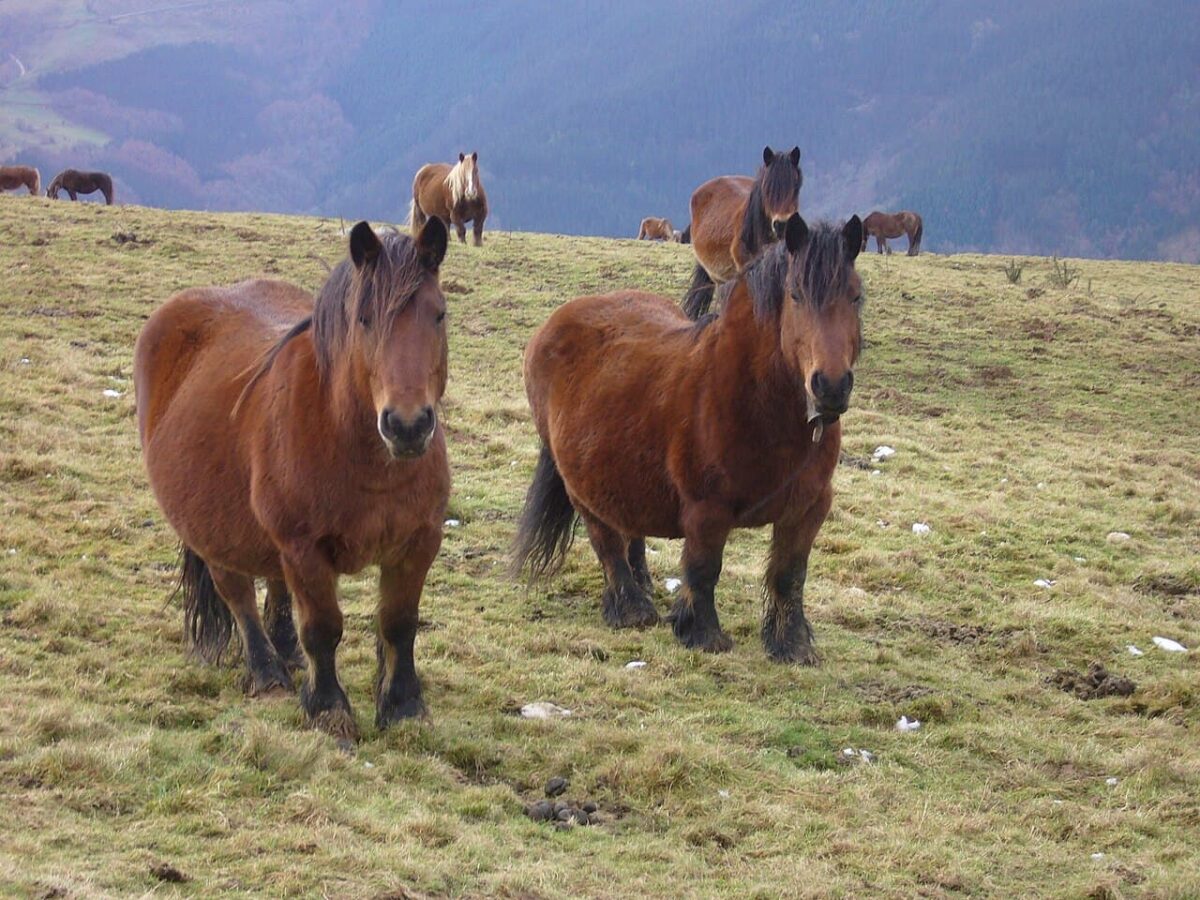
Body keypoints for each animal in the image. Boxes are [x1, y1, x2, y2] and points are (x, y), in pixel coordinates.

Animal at [134, 218, 452, 742]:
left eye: (439, 315)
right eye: (364, 319)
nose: (407, 425)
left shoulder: (418, 541)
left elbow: (399, 623)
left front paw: (404, 707)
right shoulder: (305, 549)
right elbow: (323, 628)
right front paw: (328, 709)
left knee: (276, 587)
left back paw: (286, 653)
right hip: (213, 531)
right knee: (238, 593)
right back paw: (268, 673)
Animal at [514, 213, 864, 663]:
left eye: (855, 297)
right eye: (796, 295)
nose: (831, 387)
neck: (760, 407)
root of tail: (555, 322)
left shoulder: (809, 507)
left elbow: (790, 575)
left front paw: (793, 646)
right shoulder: (706, 509)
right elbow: (703, 569)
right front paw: (702, 633)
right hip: (577, 482)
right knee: (604, 537)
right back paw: (631, 608)